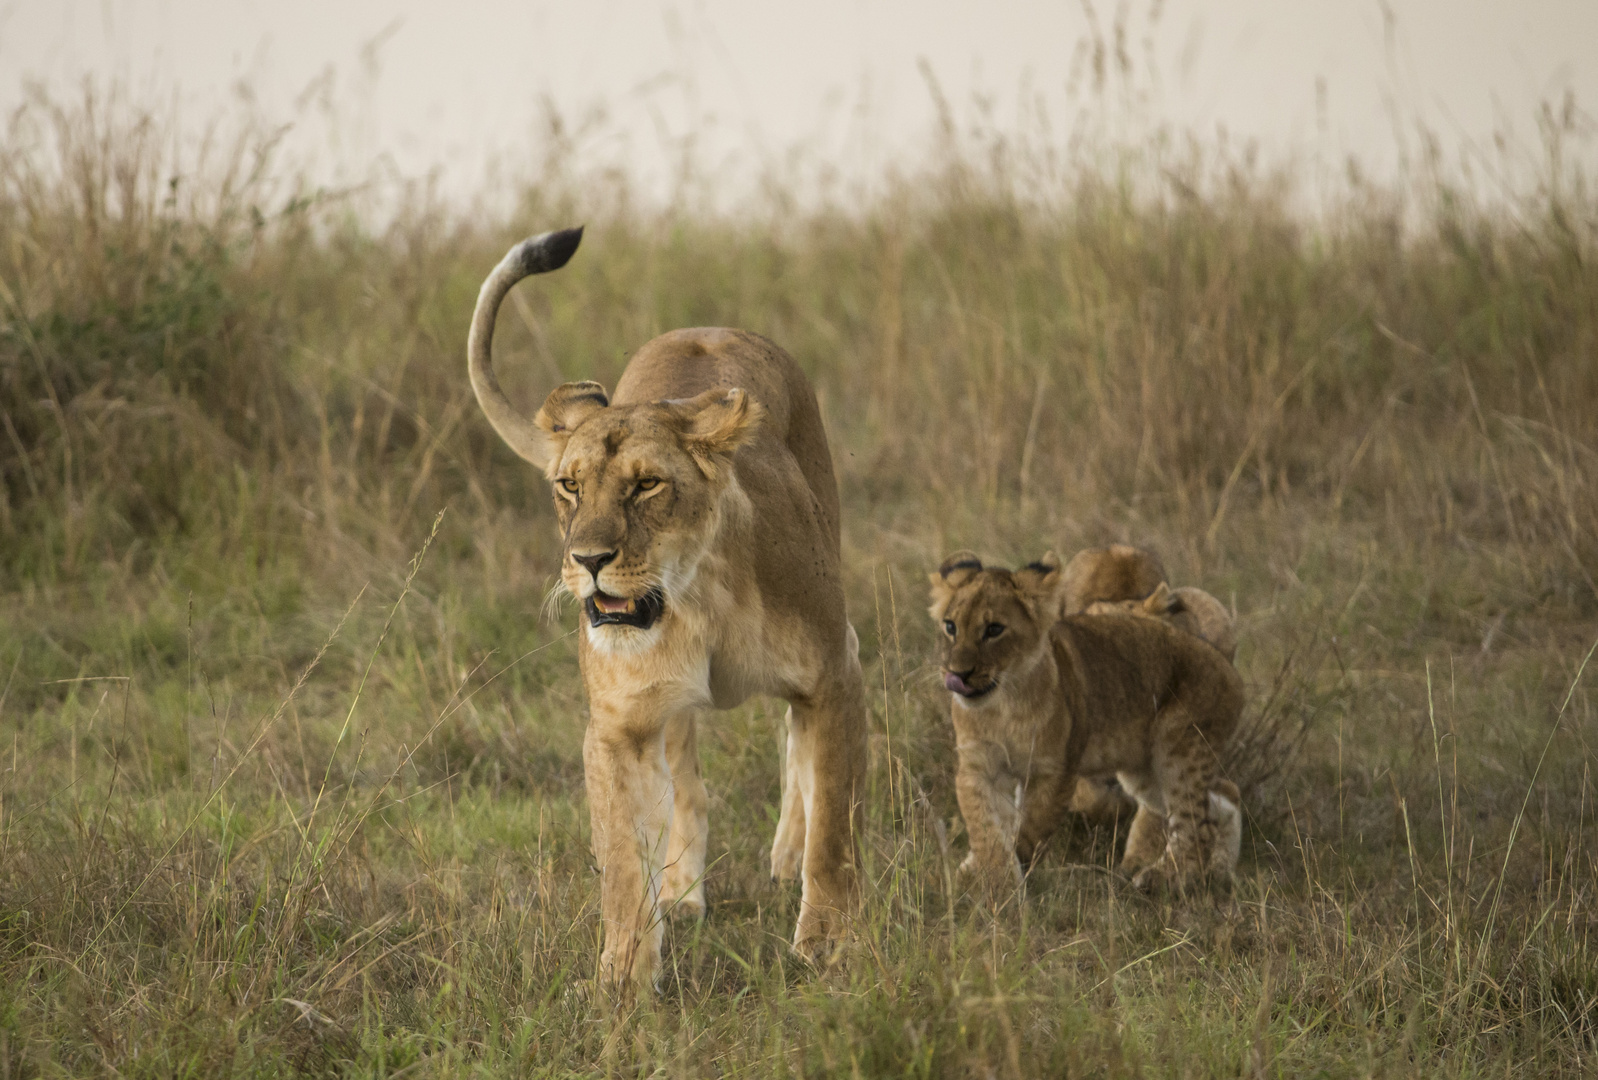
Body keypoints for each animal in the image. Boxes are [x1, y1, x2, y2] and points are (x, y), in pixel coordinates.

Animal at [466, 230, 862, 996]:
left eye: (647, 485)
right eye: (569, 486)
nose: (588, 559)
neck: (697, 595)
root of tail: (706, 328)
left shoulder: (834, 671)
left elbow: (832, 819)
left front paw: (827, 946)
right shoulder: (621, 724)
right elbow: (623, 861)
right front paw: (623, 981)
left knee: (796, 753)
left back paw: (784, 857)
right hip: (668, 713)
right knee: (689, 788)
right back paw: (682, 894)